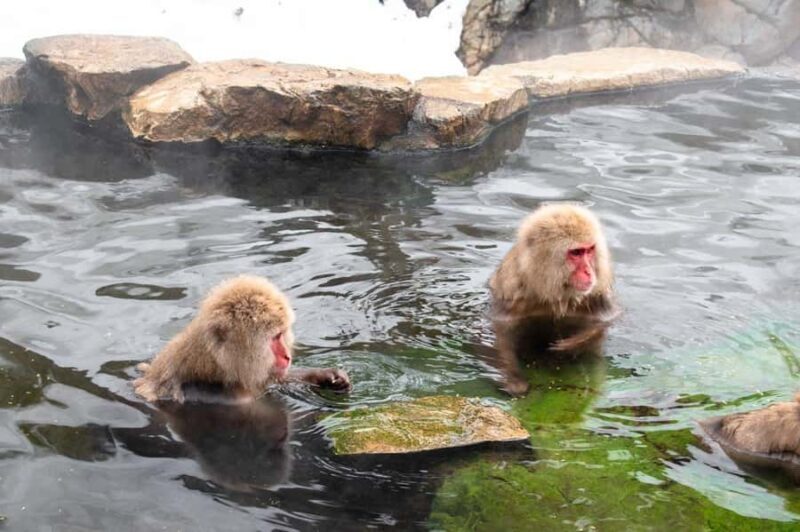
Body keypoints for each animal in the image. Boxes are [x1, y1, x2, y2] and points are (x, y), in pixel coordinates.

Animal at [487, 203, 619, 396]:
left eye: (589, 250)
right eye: (576, 253)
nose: (589, 271)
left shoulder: (597, 293)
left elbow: (608, 319)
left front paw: (572, 344)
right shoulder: (512, 294)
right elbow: (502, 334)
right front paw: (513, 379)